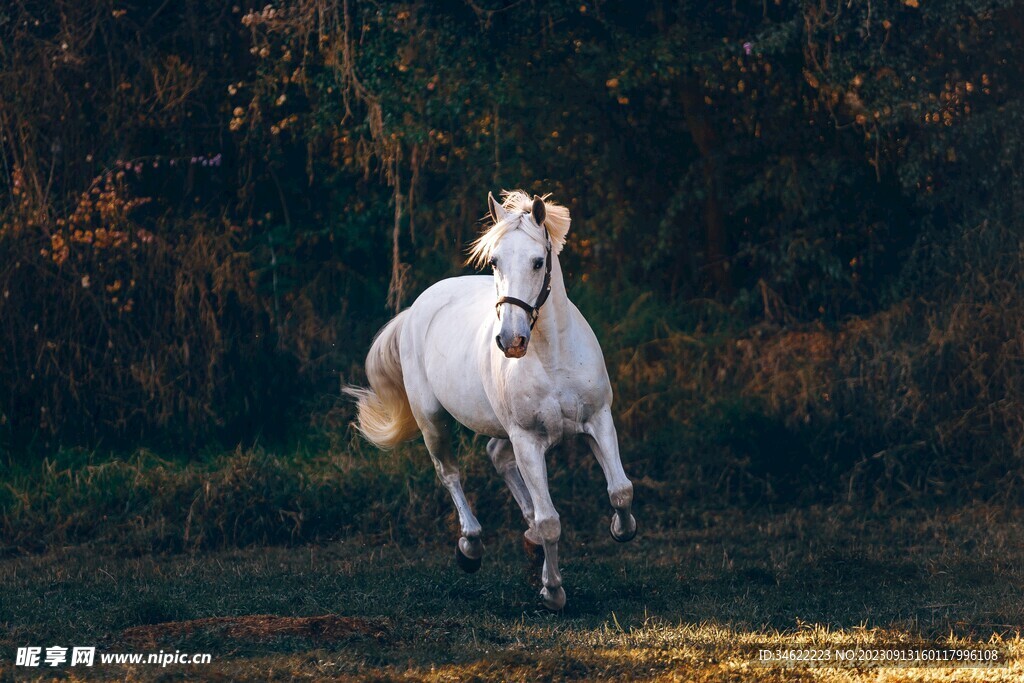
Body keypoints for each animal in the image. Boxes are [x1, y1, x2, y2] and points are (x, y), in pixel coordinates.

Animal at [348, 189, 634, 610]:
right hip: (433, 420)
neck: (552, 357)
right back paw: (470, 547)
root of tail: (417, 307)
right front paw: (553, 592)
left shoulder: (598, 420)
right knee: (450, 473)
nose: (510, 341)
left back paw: (527, 539)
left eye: (538, 262)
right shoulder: (527, 439)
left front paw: (619, 528)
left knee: (497, 456)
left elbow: (620, 490)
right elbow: (551, 521)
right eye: (495, 261)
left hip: (502, 428)